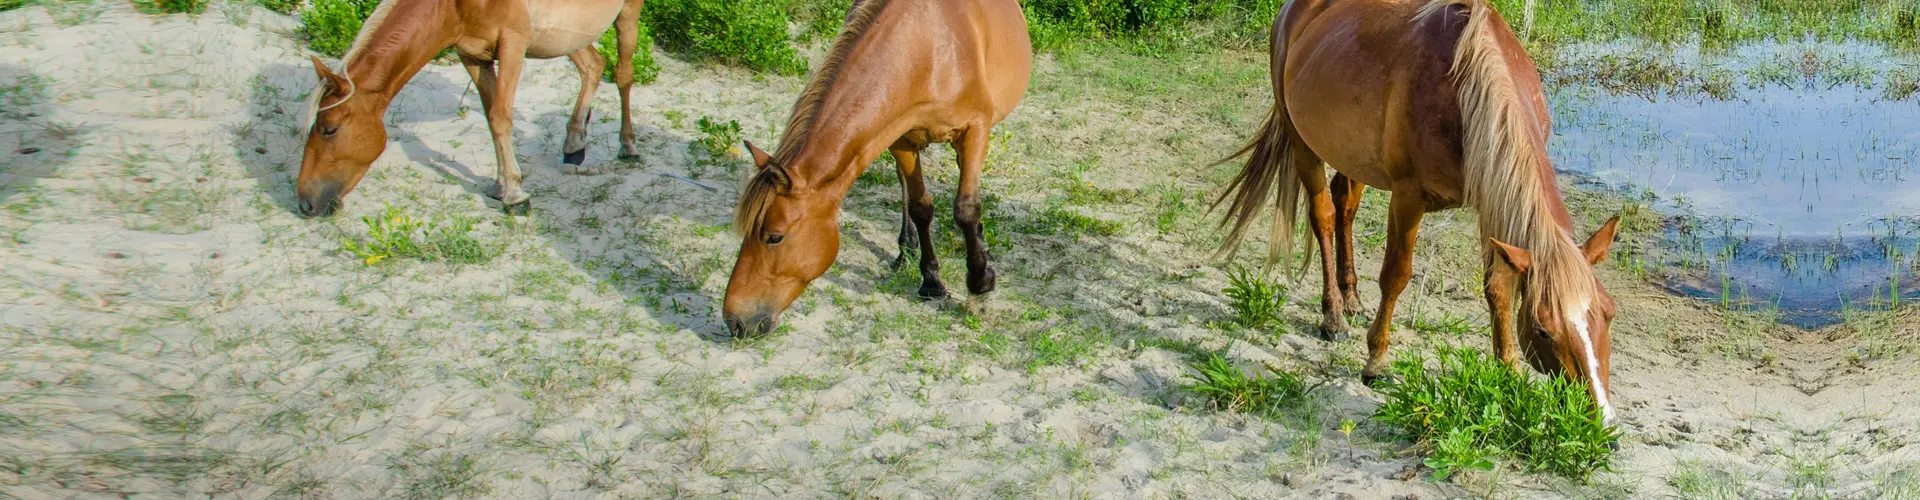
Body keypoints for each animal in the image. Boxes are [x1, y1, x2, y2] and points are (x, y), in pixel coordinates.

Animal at [296, 0, 648, 217]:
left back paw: (628, 145)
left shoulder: (513, 43)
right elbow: (492, 117)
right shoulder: (472, 54)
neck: (453, 5)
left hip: (625, 14)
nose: (304, 203)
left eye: (329, 129)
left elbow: (501, 116)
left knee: (622, 75)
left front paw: (515, 195)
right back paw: (574, 143)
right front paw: (502, 186)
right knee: (593, 66)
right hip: (563, 33)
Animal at [722, 0, 1033, 339]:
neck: (929, 50)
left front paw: (980, 286)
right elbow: (921, 207)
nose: (735, 320)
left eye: (774, 237)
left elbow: (966, 208)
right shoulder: (901, 138)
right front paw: (931, 280)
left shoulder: (974, 129)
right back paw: (906, 246)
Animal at [1212, 0, 1624, 424]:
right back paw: (1333, 316)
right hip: (1302, 143)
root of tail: (1290, 12)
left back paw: (1352, 297)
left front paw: (1508, 369)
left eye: (1608, 314)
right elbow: (1395, 275)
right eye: (1543, 330)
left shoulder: (1490, 201)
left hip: (1352, 157)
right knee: (1323, 216)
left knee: (1345, 206)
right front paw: (1377, 360)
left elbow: (1498, 287)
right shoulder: (1408, 197)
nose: (1603, 418)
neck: (1465, 93)